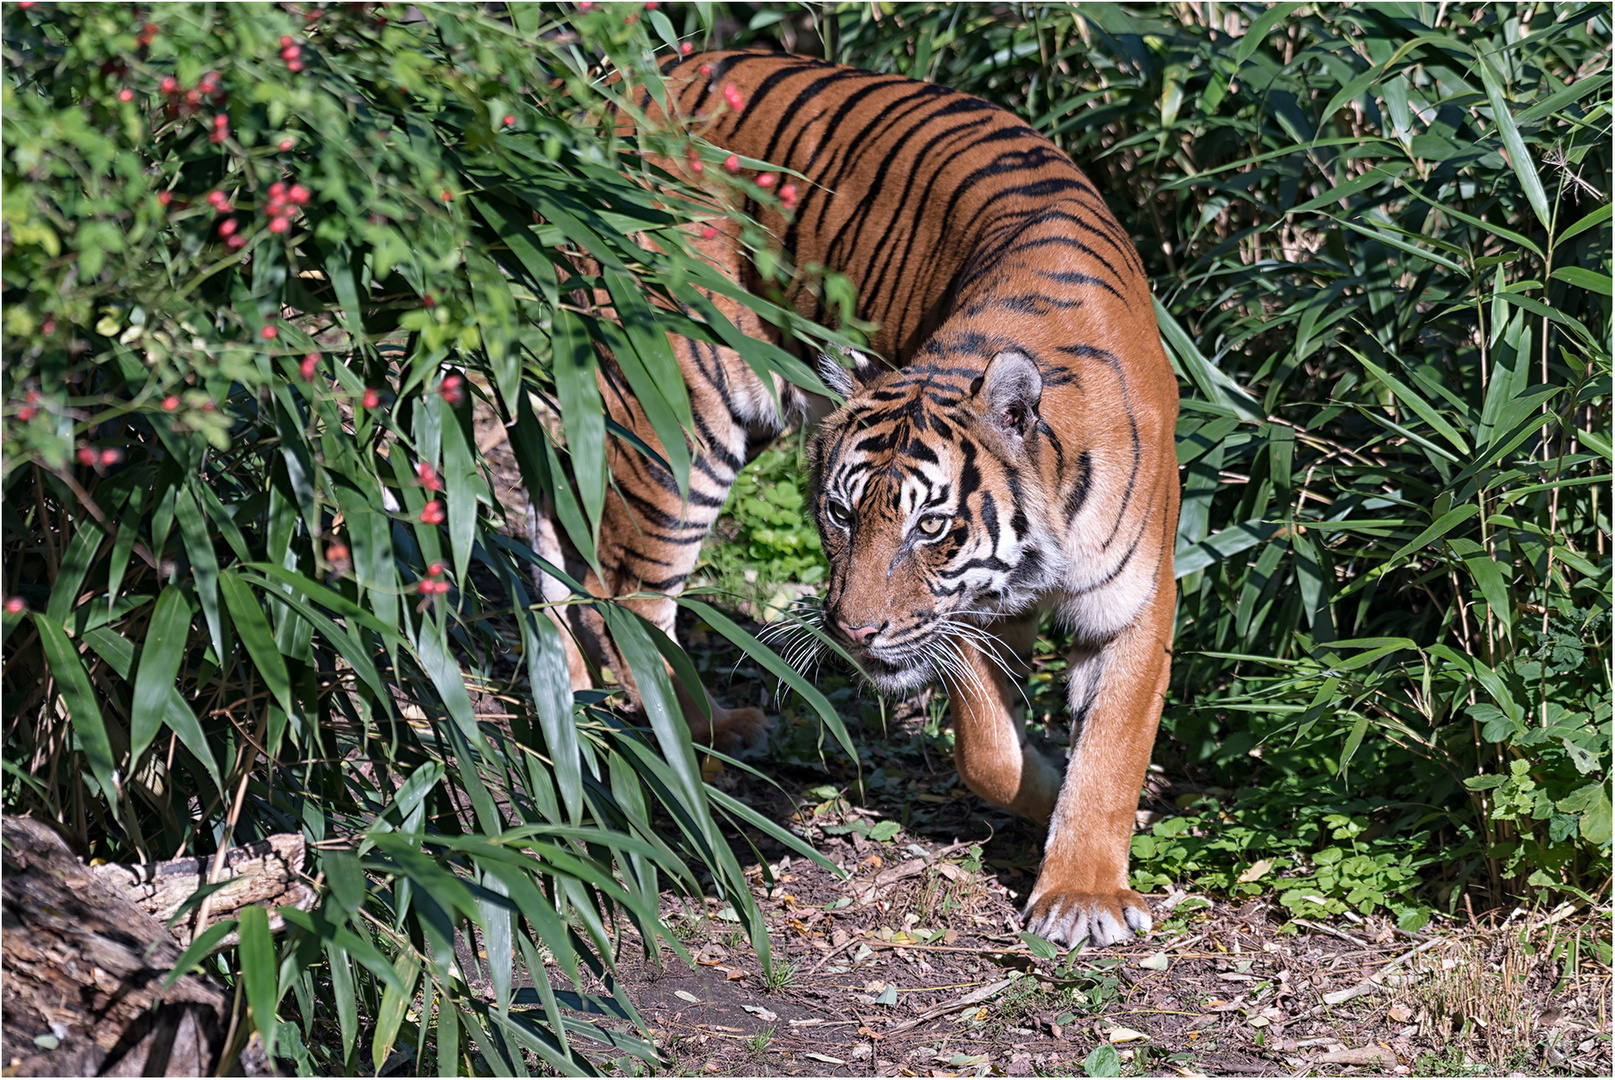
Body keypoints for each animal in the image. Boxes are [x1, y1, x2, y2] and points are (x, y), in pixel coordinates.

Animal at [536, 50, 1182, 949]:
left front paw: (1083, 884)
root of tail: (613, 82)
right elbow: (985, 752)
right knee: (629, 597)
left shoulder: (1131, 600)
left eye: (931, 526)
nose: (852, 632)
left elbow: (1112, 746)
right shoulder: (962, 617)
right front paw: (1056, 810)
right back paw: (699, 740)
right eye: (840, 514)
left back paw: (569, 702)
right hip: (675, 412)